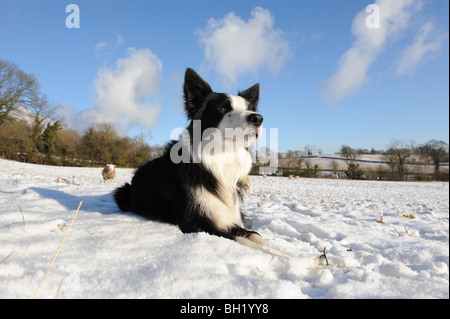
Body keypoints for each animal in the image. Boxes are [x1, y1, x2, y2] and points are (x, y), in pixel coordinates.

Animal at [115, 69, 270, 254]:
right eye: (223, 108)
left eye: (248, 109)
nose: (258, 118)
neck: (221, 157)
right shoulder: (194, 223)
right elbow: (242, 240)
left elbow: (256, 236)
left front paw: (284, 252)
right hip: (122, 192)